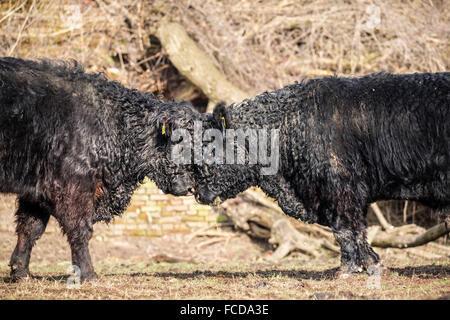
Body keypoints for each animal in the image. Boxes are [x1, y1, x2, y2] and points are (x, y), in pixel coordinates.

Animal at [0, 57, 193, 280]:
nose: (189, 187)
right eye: (179, 140)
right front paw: (88, 273)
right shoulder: (74, 187)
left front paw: (21, 271)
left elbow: (30, 227)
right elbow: (80, 229)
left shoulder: (35, 190)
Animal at [166, 72, 450, 276]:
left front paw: (353, 269)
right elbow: (351, 231)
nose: (195, 191)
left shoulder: (340, 188)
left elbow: (348, 230)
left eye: (212, 148)